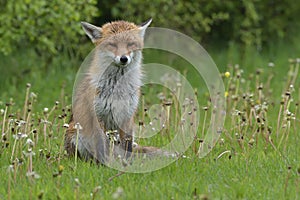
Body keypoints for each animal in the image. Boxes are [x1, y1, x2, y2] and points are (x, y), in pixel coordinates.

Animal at [64, 18, 171, 163]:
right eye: (112, 44)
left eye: (130, 44)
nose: (123, 58)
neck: (118, 88)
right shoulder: (98, 116)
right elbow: (102, 146)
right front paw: (104, 165)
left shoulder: (127, 116)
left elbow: (127, 145)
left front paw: (128, 164)